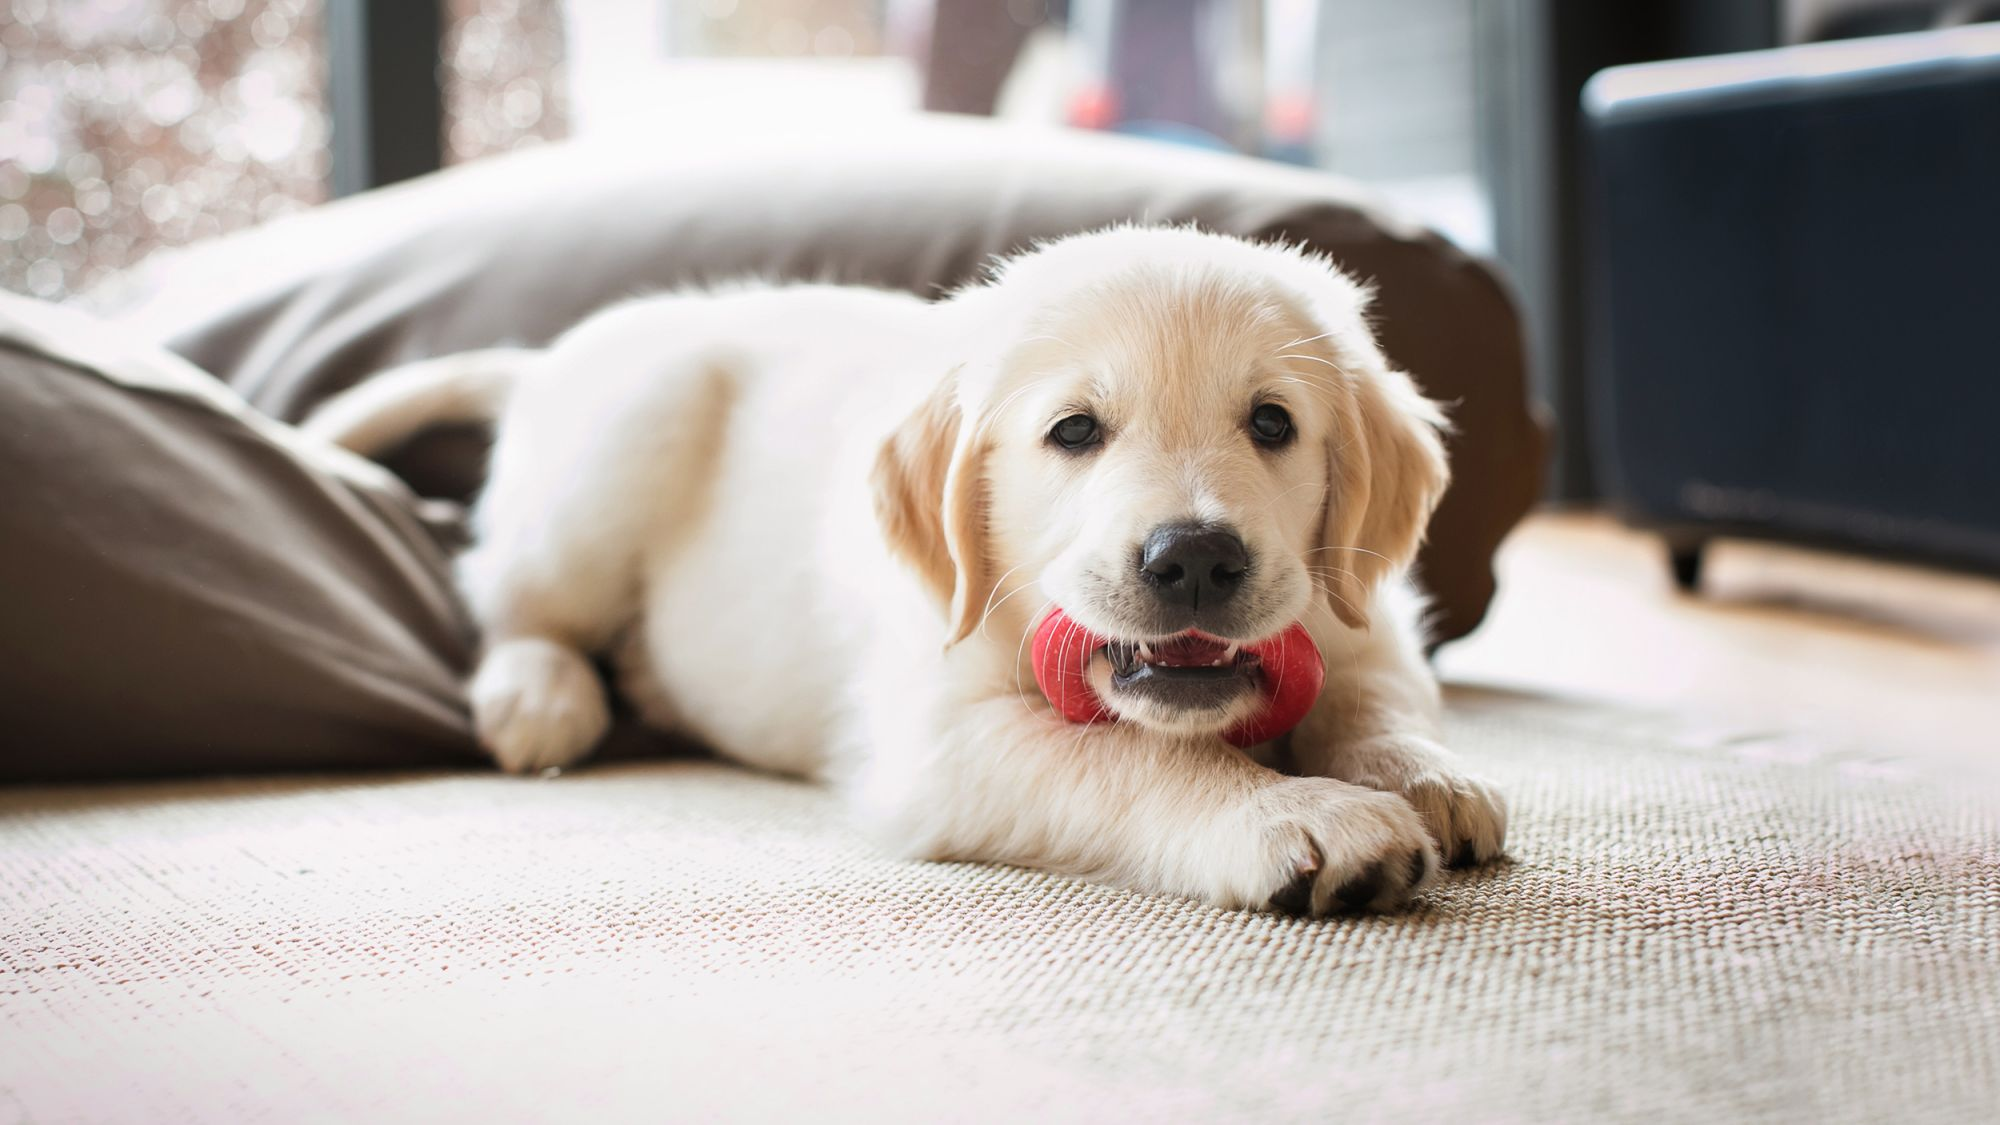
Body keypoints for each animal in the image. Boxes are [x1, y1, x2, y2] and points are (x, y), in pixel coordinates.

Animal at [304, 223, 1504, 904]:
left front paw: (1423, 774)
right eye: (1074, 431)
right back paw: (541, 695)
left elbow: (1375, 699)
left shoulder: (1362, 616)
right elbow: (1136, 758)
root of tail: (546, 361)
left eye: (1271, 423)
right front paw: (1296, 815)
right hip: (614, 448)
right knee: (511, 598)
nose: (1198, 560)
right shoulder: (938, 740)